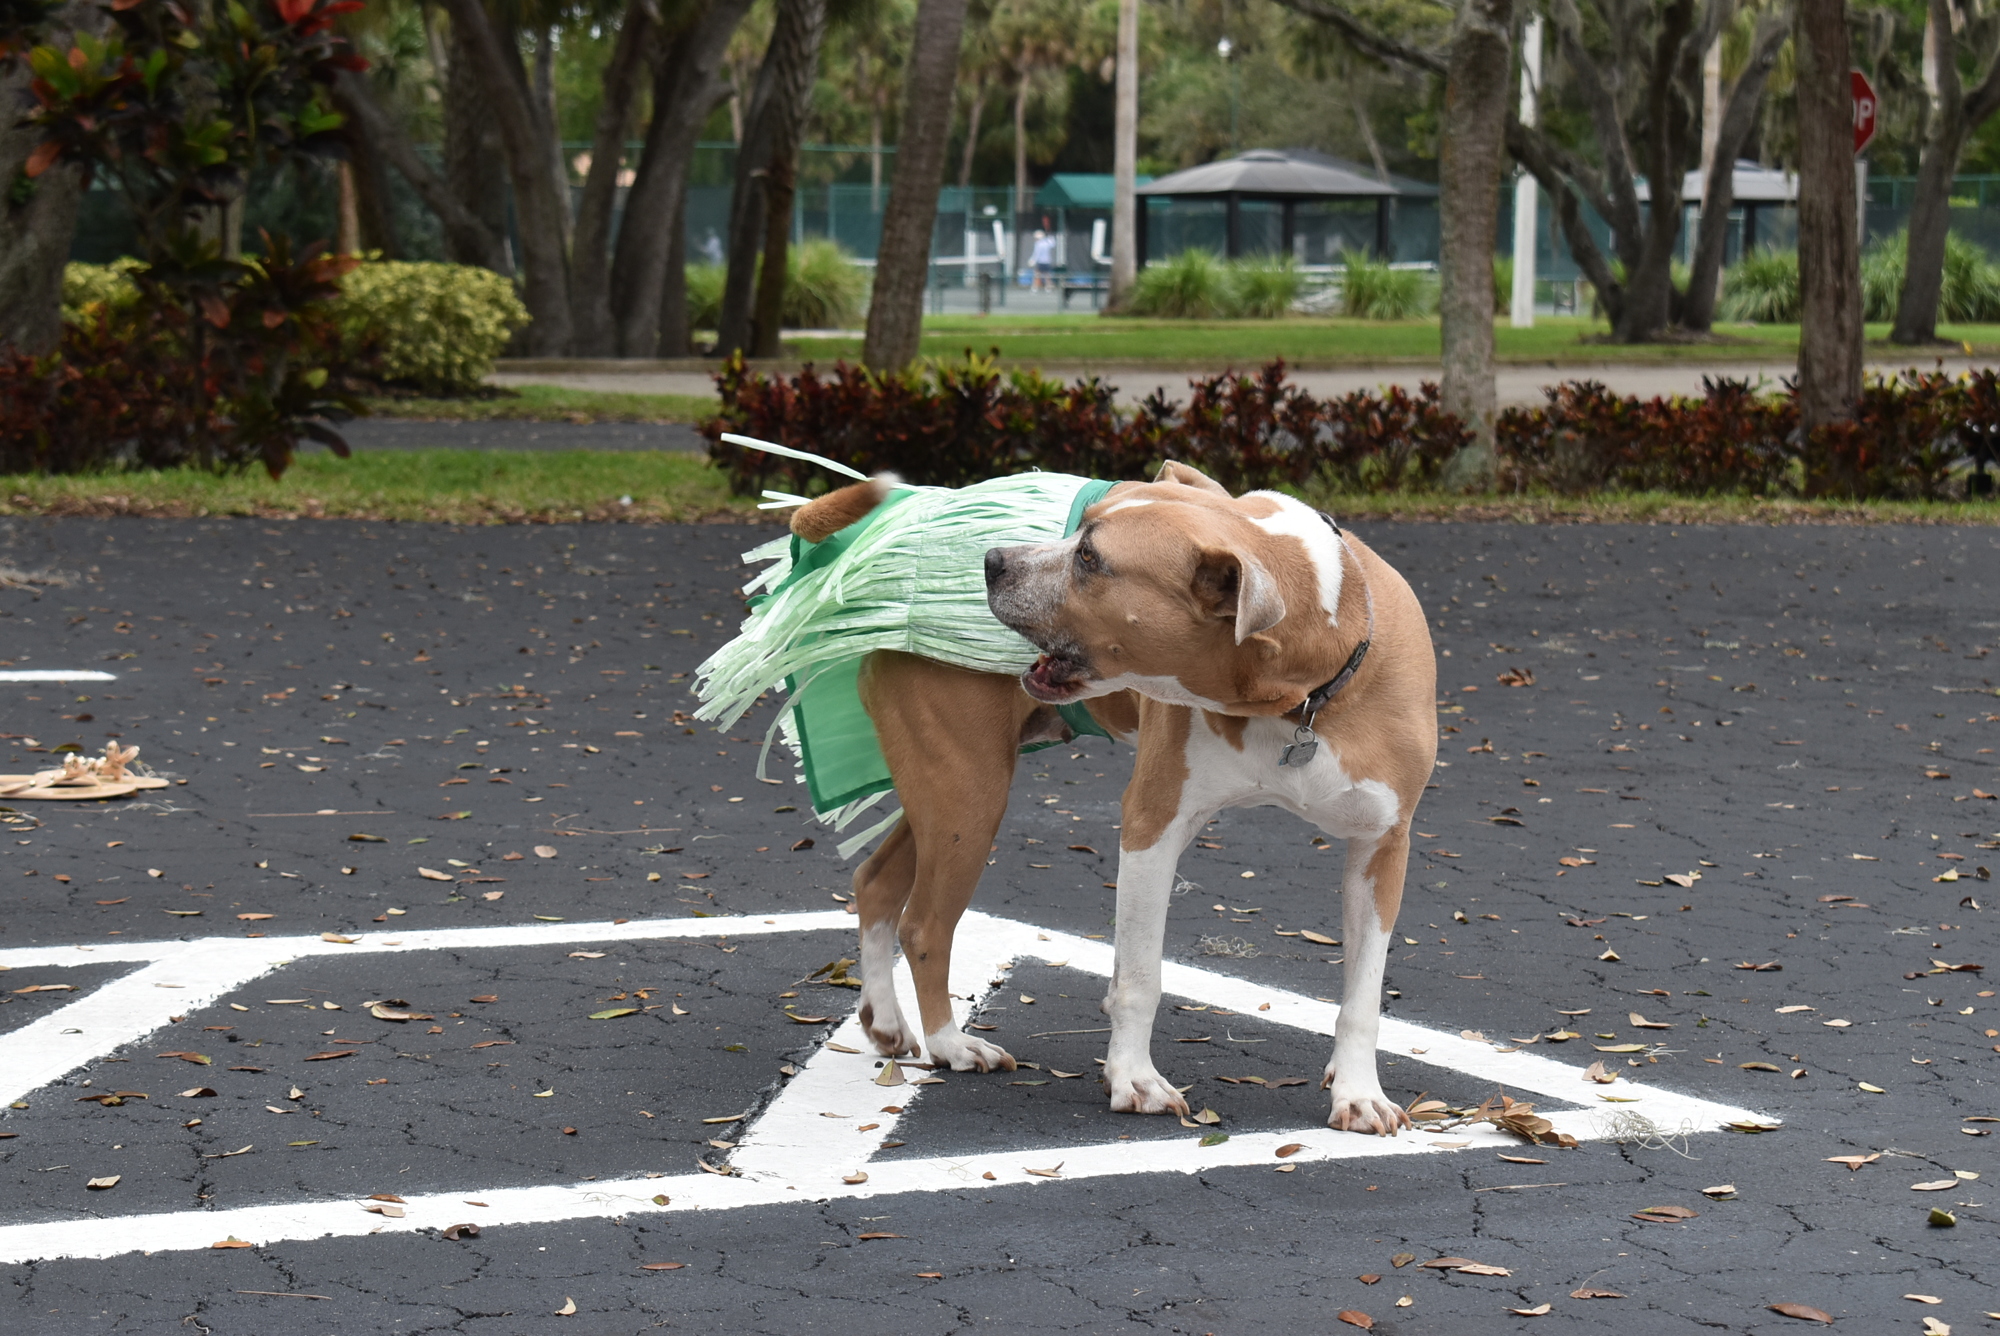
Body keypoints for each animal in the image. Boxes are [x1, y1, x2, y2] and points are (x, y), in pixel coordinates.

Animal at [788, 462, 1432, 1136]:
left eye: (1090, 558)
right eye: (1084, 532)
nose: (991, 559)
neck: (1303, 695)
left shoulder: (1382, 848)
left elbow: (1363, 994)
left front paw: (1358, 1093)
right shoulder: (1152, 825)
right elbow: (1140, 978)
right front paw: (1135, 1079)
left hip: (945, 795)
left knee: (877, 882)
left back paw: (887, 1022)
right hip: (967, 793)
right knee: (925, 924)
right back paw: (952, 1045)